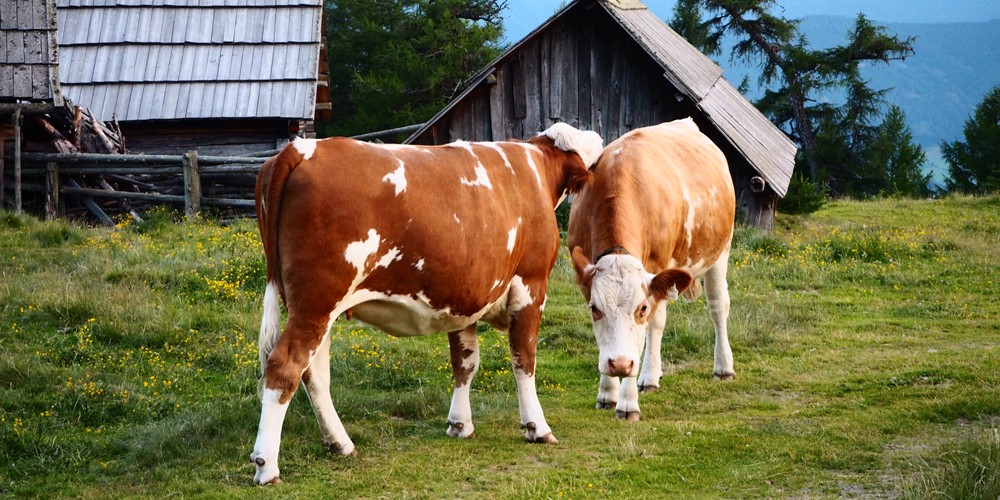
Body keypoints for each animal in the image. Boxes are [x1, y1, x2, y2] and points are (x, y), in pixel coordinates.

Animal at [249, 122, 600, 484]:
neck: (536, 165)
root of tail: (302, 148)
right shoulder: (531, 285)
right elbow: (524, 360)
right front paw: (536, 427)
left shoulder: (464, 299)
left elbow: (465, 362)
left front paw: (460, 424)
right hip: (316, 303)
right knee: (285, 367)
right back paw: (267, 465)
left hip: (317, 308)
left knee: (314, 373)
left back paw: (340, 443)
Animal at [572, 119, 736, 420]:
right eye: (594, 309)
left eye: (641, 309)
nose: (619, 365)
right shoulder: (587, 282)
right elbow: (608, 339)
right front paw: (607, 393)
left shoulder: (655, 276)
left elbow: (641, 337)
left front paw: (627, 403)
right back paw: (650, 377)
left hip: (720, 250)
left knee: (718, 306)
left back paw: (722, 367)